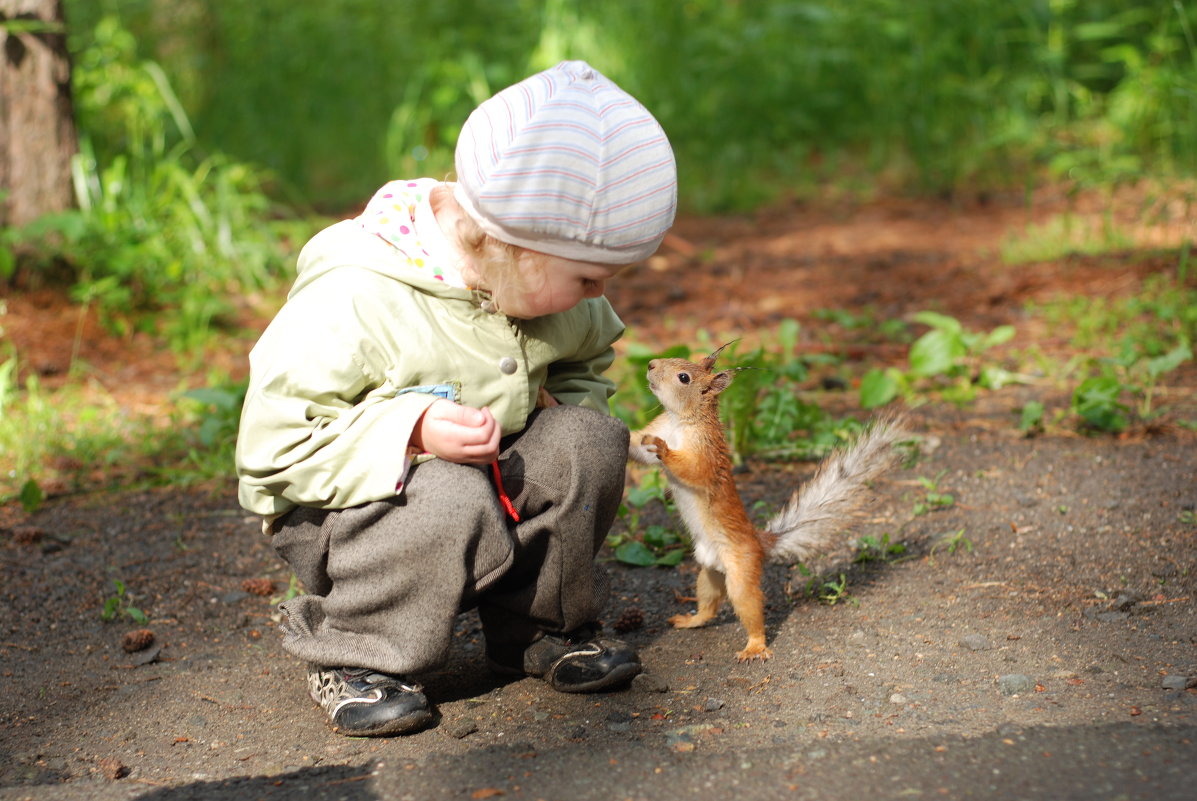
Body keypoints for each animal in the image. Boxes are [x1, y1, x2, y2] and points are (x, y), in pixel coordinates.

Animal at [632, 344, 900, 660]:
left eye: (683, 377)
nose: (650, 364)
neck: (680, 421)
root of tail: (760, 544)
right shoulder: (660, 427)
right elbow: (637, 447)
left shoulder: (705, 452)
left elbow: (694, 471)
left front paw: (664, 450)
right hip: (709, 573)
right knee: (709, 604)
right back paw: (691, 620)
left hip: (741, 572)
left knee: (749, 607)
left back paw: (755, 646)